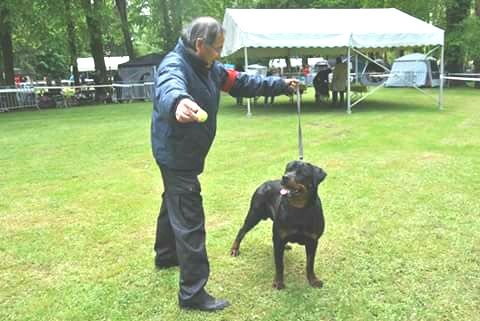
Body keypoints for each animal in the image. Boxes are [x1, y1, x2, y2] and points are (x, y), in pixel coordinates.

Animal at [232, 160, 328, 288]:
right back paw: (234, 249)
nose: (284, 177)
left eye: (301, 173)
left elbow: (310, 263)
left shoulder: (312, 241)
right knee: (242, 230)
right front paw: (278, 282)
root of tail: (264, 183)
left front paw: (313, 280)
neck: (300, 209)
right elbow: (279, 264)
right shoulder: (279, 239)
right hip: (254, 214)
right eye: (287, 170)